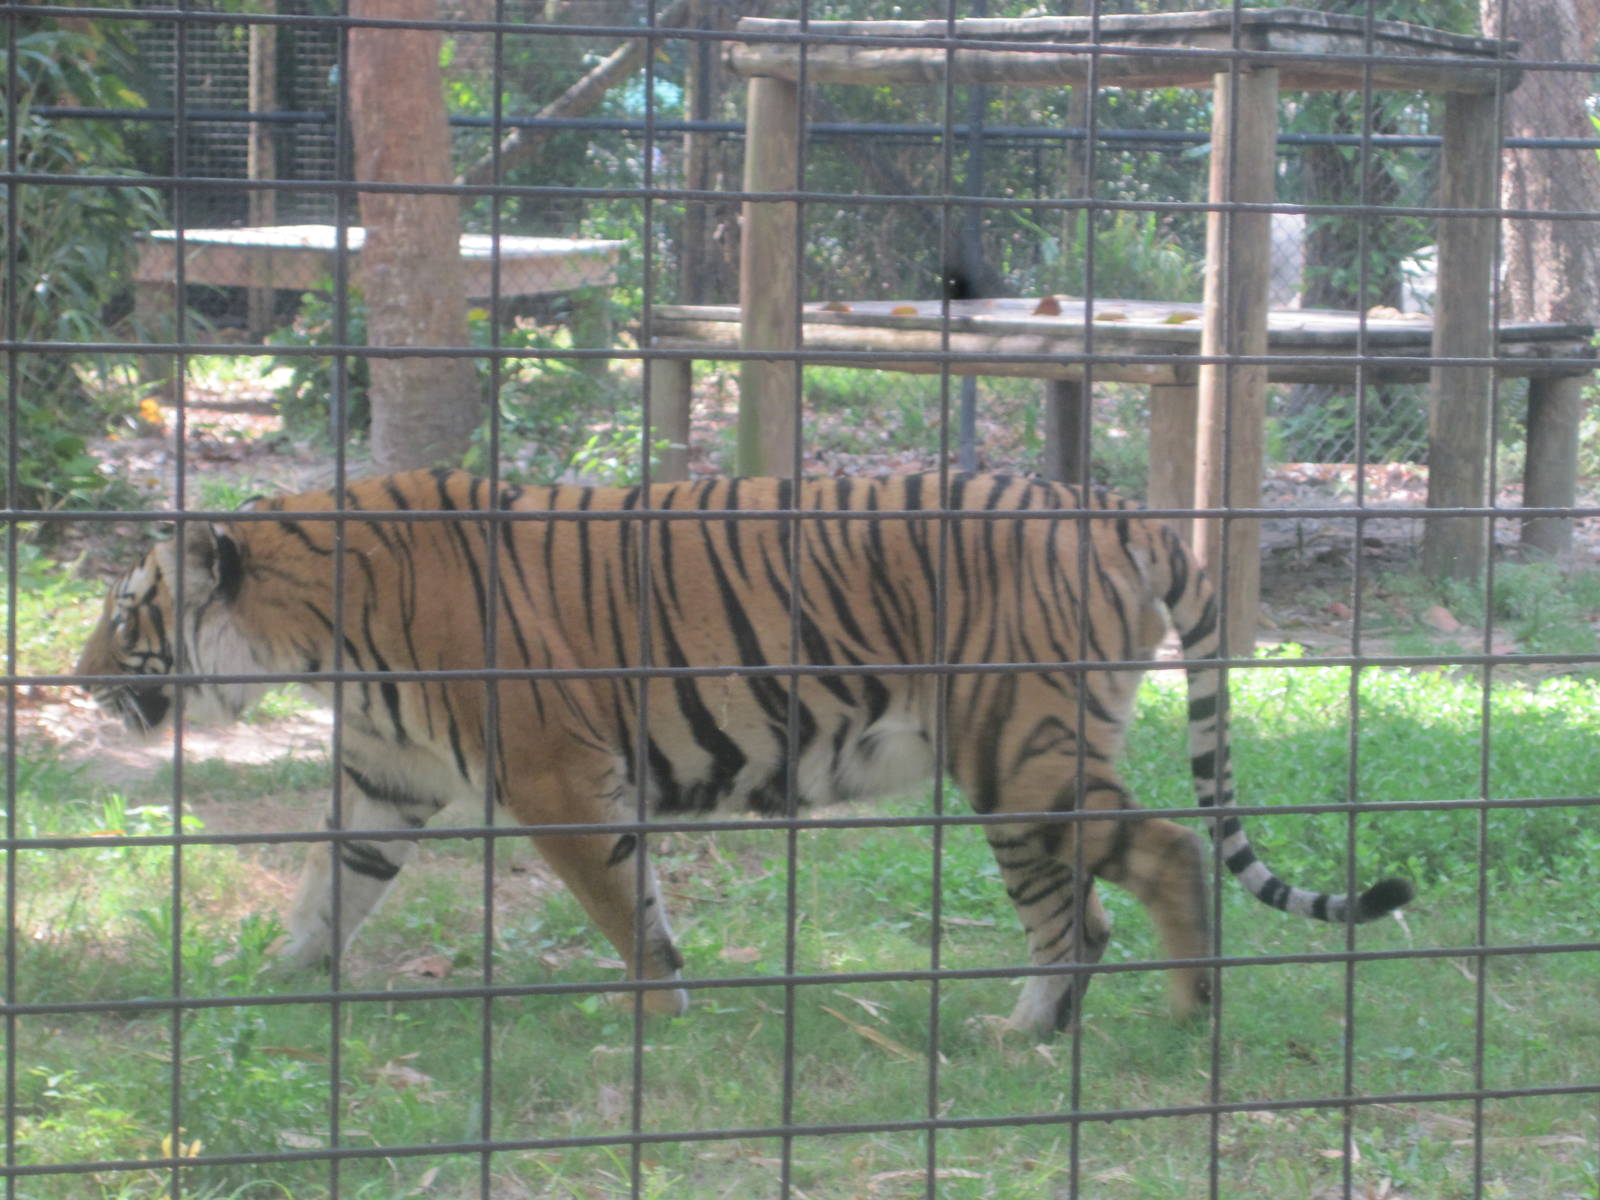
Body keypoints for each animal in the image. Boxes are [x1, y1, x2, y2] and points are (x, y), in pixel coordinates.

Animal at [74, 469, 1412, 1035]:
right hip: (1024, 759)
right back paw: (1052, 1028)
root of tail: (1109, 505)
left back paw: (1150, 1020)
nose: (78, 681)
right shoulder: (384, 781)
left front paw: (650, 1009)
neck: (312, 630)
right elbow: (327, 891)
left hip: (1015, 751)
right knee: (1088, 906)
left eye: (126, 611)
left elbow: (620, 904)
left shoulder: (556, 779)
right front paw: (272, 984)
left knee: (1143, 868)